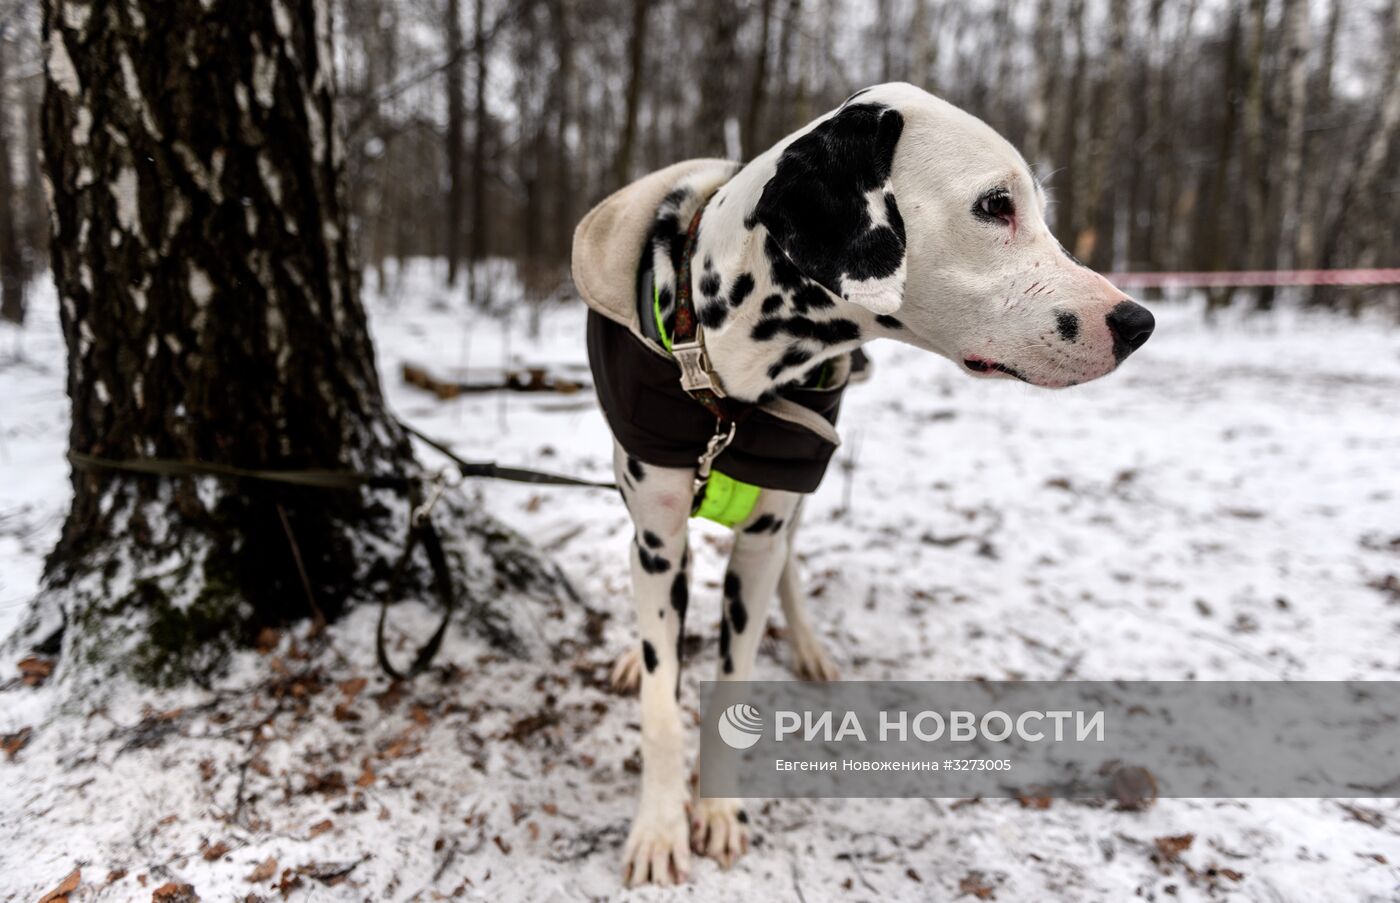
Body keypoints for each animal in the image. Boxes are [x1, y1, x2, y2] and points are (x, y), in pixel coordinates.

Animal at [574, 80, 1153, 884]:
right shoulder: (658, 533)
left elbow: (734, 673)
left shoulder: (761, 538)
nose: (1138, 321)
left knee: (791, 559)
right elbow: (663, 703)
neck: (726, 371)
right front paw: (659, 828)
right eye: (995, 204)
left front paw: (717, 809)